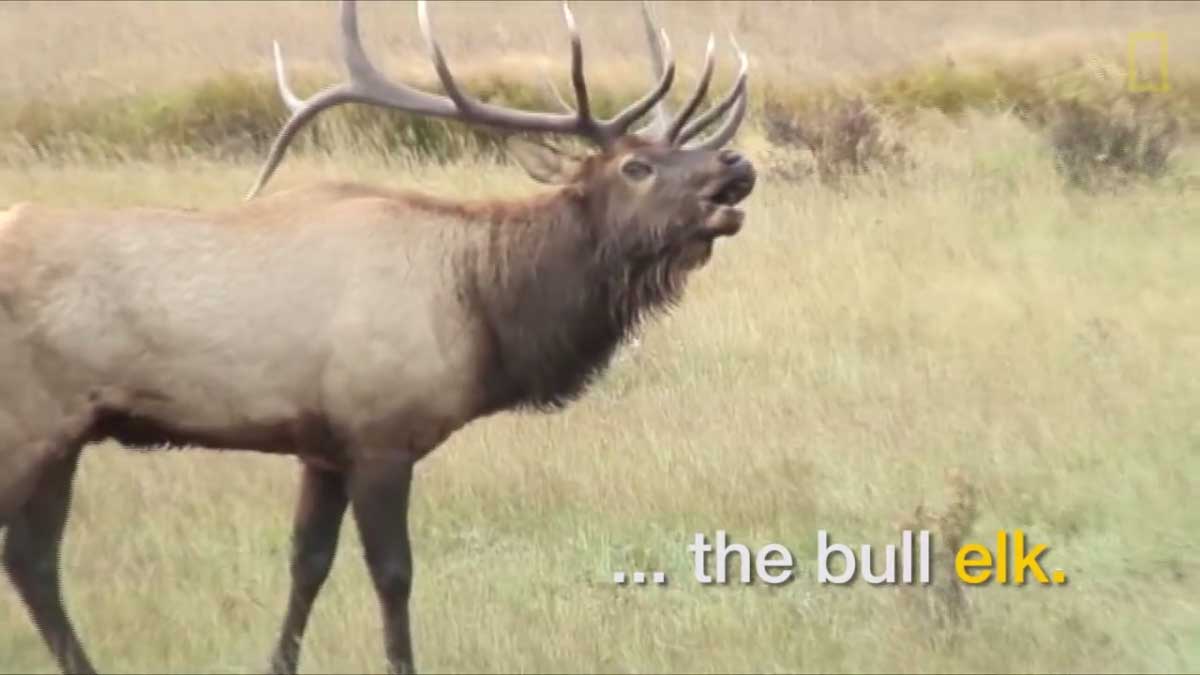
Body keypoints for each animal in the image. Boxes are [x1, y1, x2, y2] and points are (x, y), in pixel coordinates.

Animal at [0, 0, 755, 673]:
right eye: (636, 167)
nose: (736, 165)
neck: (483, 307)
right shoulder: (380, 433)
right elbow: (393, 573)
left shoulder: (323, 445)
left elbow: (307, 563)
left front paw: (279, 663)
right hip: (34, 422)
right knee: (30, 555)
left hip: (63, 431)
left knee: (30, 558)